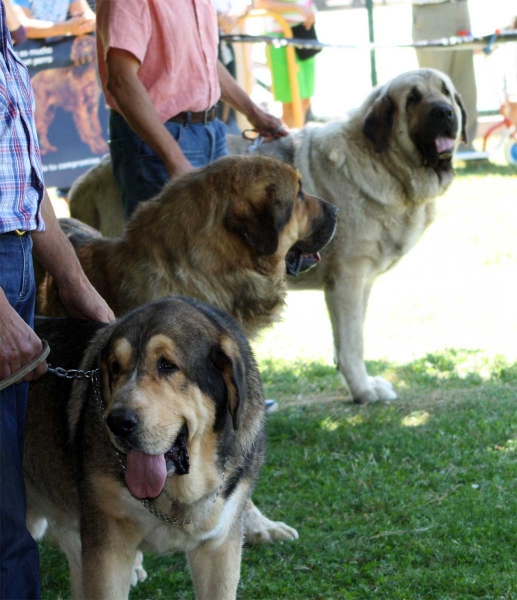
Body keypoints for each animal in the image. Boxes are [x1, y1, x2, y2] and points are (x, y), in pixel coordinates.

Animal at [66, 70, 466, 406]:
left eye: (445, 91)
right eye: (413, 98)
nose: (446, 112)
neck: (382, 163)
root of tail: (82, 181)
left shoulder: (361, 283)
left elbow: (351, 342)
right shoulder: (348, 281)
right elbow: (352, 345)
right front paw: (364, 391)